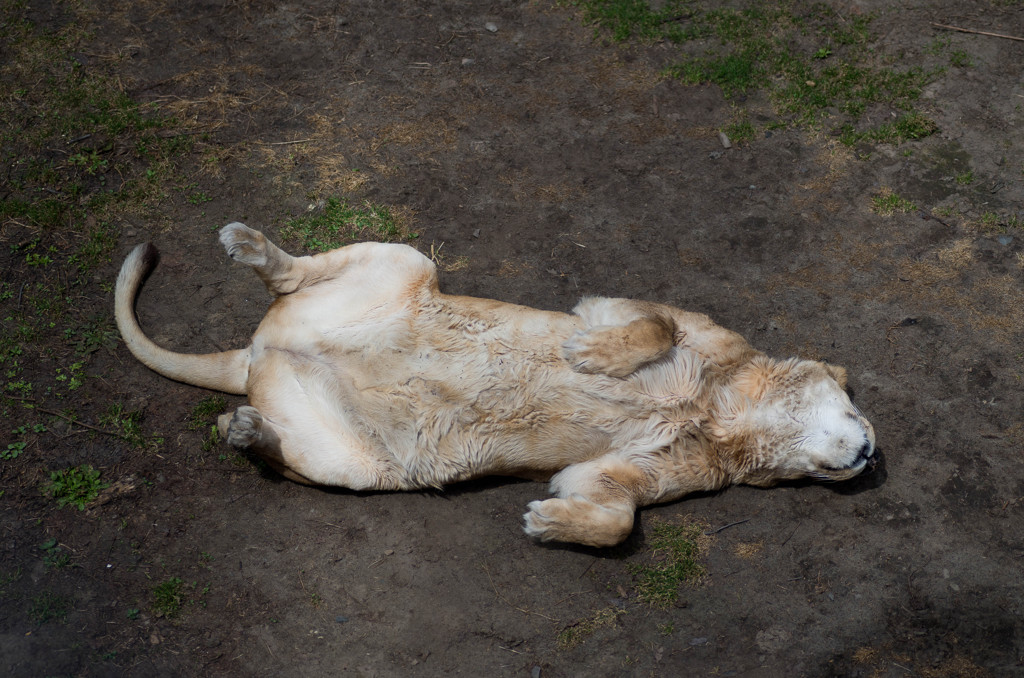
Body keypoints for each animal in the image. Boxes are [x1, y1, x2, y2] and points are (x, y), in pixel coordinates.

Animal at [116, 225, 876, 548]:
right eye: (856, 404)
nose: (870, 454)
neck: (728, 414)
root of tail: (255, 355)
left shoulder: (620, 474)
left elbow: (616, 519)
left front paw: (549, 522)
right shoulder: (633, 307)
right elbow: (654, 326)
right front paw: (590, 356)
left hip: (358, 466)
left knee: (268, 441)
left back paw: (242, 425)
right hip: (405, 260)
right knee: (291, 271)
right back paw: (246, 242)